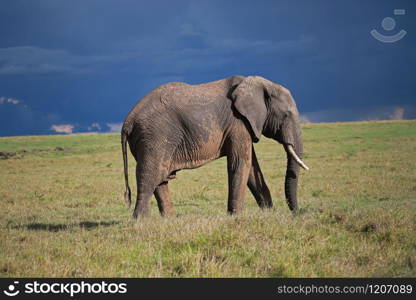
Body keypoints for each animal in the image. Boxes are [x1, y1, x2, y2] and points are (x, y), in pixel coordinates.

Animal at [121, 76, 308, 219]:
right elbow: (241, 163)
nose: (297, 213)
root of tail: (128, 120)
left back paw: (169, 220)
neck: (257, 83)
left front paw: (268, 213)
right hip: (155, 135)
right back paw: (141, 221)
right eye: (286, 115)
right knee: (150, 176)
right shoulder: (238, 123)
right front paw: (235, 217)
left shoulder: (245, 125)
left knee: (161, 178)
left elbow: (252, 168)